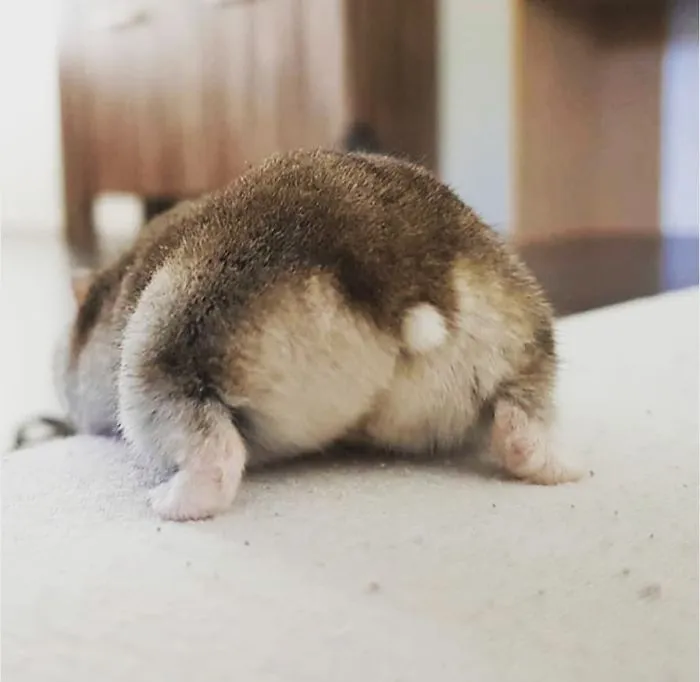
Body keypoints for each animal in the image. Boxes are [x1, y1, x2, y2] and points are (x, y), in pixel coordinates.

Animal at [55, 149, 582, 521]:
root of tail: (404, 277)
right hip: (522, 341)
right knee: (521, 424)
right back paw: (565, 469)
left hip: (166, 348)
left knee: (216, 452)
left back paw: (167, 501)